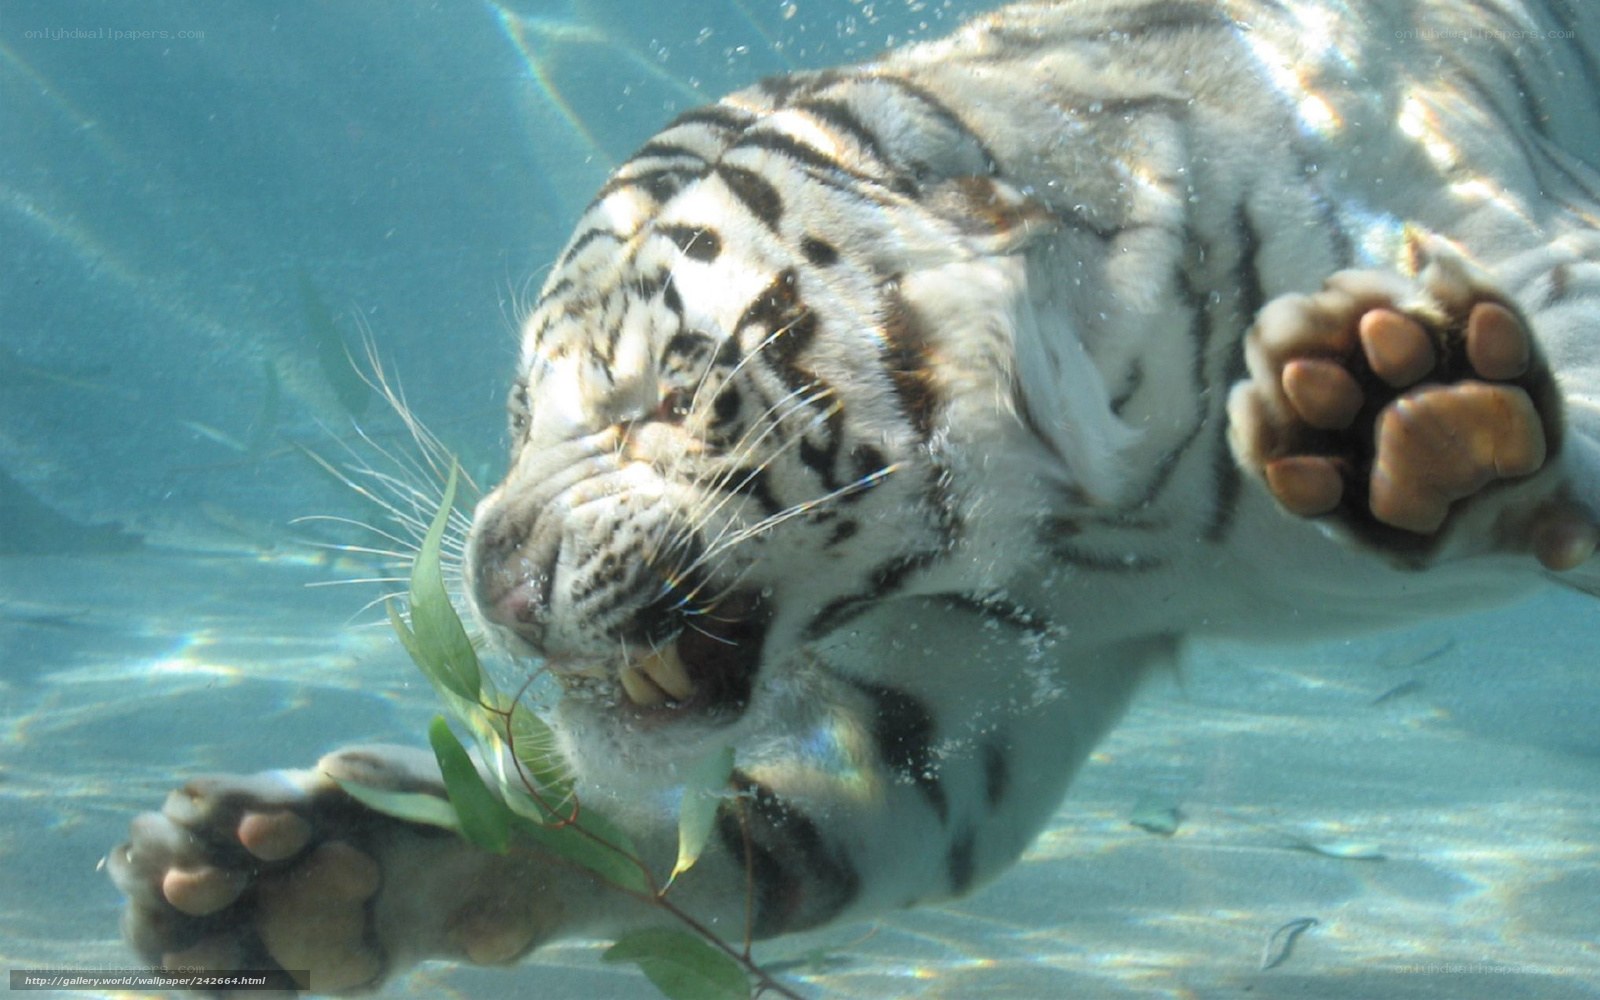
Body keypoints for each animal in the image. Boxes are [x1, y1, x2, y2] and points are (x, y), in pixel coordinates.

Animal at [110, 0, 1599, 993]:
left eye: (660, 390)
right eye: (526, 415)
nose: (490, 580)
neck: (1110, 508)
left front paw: (1396, 401)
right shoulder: (961, 693)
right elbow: (716, 838)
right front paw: (300, 874)